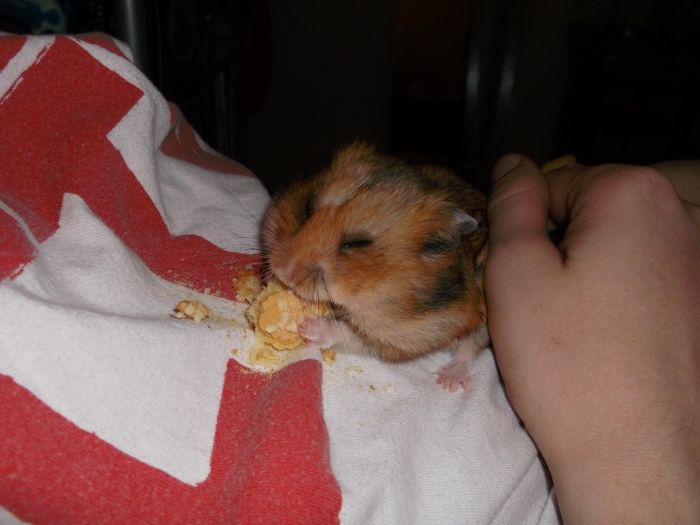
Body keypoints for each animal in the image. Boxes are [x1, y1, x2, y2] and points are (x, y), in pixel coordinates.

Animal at [261, 142, 489, 391]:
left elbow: (350, 334)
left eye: (357, 243)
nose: (285, 273)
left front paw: (307, 326)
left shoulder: (408, 335)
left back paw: (447, 382)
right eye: (308, 207)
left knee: (471, 346)